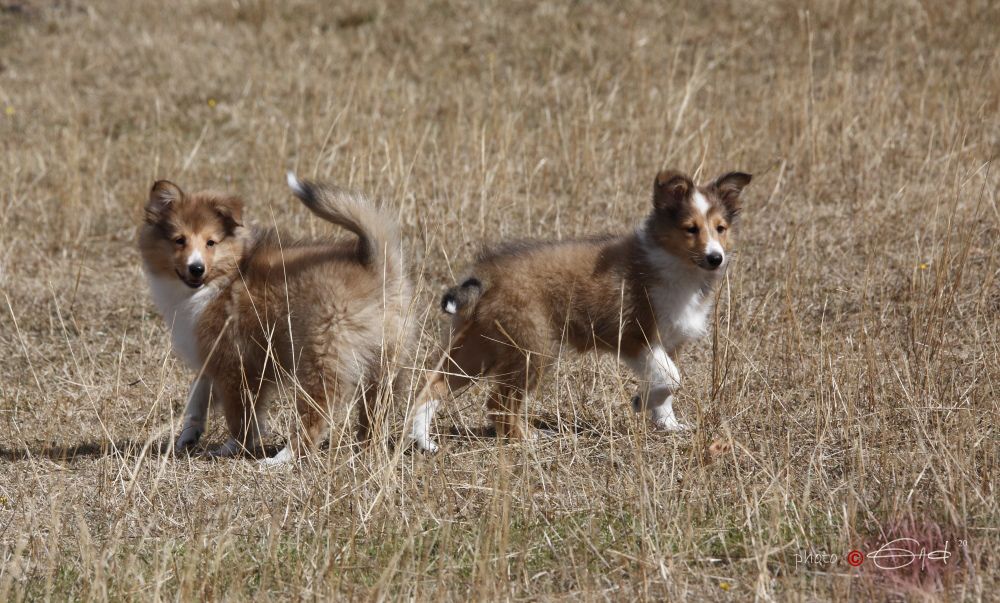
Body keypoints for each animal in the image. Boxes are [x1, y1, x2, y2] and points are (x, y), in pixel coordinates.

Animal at [139, 173, 413, 464]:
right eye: (179, 240)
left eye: (210, 242)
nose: (196, 268)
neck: (227, 275)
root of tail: (376, 267)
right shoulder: (214, 357)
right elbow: (197, 394)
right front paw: (189, 434)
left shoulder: (236, 363)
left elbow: (239, 415)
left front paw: (232, 448)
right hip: (384, 362)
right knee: (375, 410)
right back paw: (366, 449)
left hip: (319, 356)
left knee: (315, 412)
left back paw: (282, 458)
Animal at [405, 169, 751, 451]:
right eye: (691, 229)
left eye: (720, 228)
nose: (716, 258)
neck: (676, 264)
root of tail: (485, 277)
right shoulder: (634, 336)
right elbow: (672, 377)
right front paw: (643, 403)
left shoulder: (668, 343)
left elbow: (666, 385)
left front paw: (667, 423)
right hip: (531, 349)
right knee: (498, 402)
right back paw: (526, 439)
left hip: (478, 346)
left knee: (433, 384)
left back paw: (423, 440)